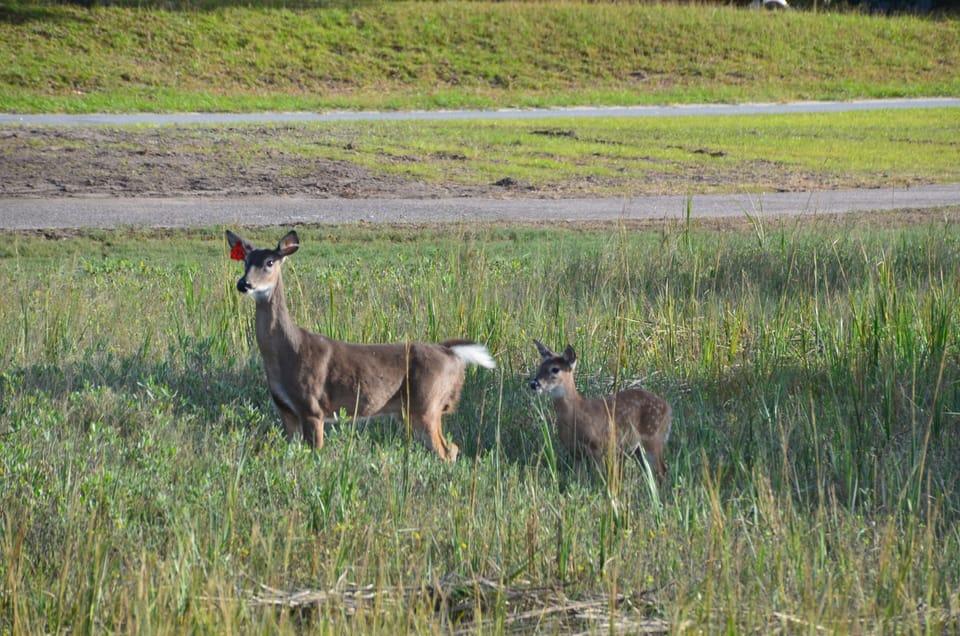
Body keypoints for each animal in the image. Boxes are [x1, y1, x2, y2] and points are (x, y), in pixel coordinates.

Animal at [225, 229, 496, 462]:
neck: (286, 351)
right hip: (416, 410)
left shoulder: (312, 407)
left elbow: (316, 455)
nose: (244, 284)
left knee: (446, 450)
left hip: (427, 403)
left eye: (270, 262)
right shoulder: (286, 410)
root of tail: (450, 352)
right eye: (246, 260)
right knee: (452, 447)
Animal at [529, 340, 672, 483]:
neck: (576, 414)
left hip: (653, 436)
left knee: (662, 469)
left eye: (555, 369)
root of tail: (668, 409)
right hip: (639, 447)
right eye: (540, 366)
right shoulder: (574, 451)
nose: (534, 384)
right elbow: (578, 478)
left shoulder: (597, 445)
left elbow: (599, 476)